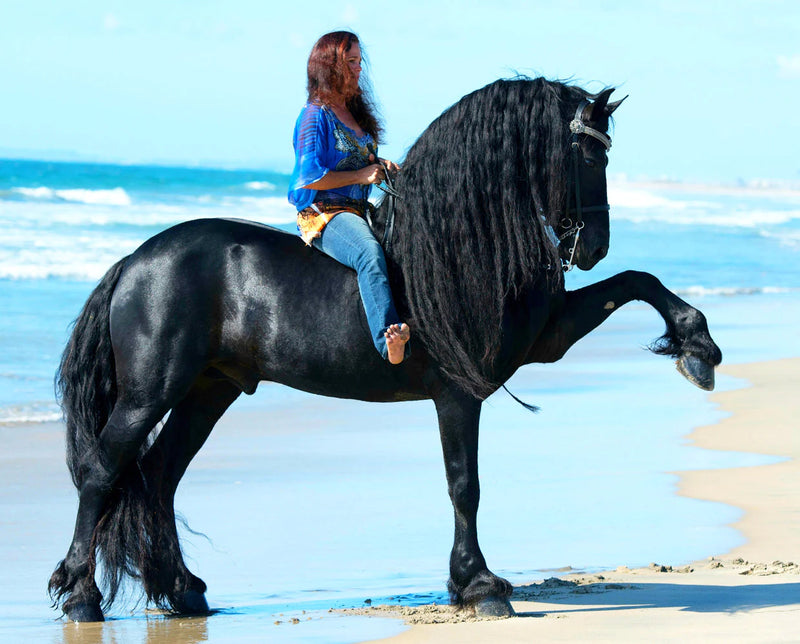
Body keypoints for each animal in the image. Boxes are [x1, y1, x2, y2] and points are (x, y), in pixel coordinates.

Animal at [49, 77, 722, 622]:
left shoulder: (545, 336)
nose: (594, 246)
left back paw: (182, 590)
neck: (453, 249)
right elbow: (464, 484)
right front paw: (479, 585)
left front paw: (697, 346)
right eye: (587, 152)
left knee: (160, 476)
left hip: (208, 391)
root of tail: (135, 261)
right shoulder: (458, 392)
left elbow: (637, 282)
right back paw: (83, 596)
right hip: (150, 391)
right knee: (104, 470)